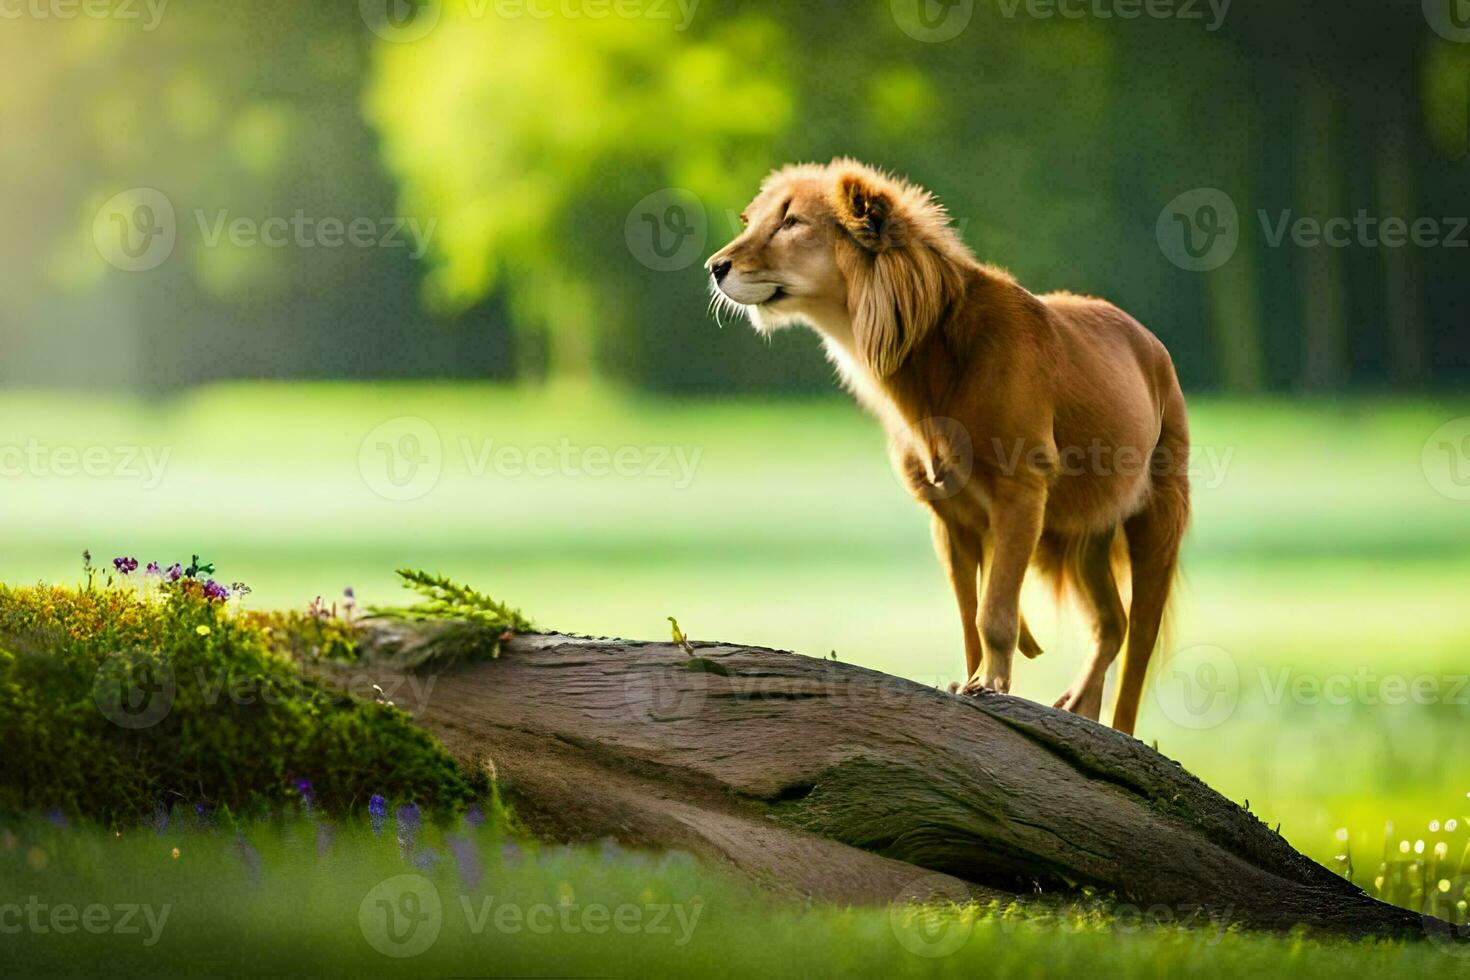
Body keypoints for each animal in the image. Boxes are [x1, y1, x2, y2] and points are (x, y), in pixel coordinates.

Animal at [705, 157, 1187, 731]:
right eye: (751, 220)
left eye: (791, 222)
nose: (714, 267)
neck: (925, 357)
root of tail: (1150, 341)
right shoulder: (951, 518)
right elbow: (967, 615)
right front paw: (971, 682)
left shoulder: (1021, 491)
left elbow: (994, 610)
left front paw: (989, 685)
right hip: (1079, 534)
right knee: (1110, 623)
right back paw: (1077, 706)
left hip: (1155, 523)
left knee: (1135, 655)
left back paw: (1114, 725)